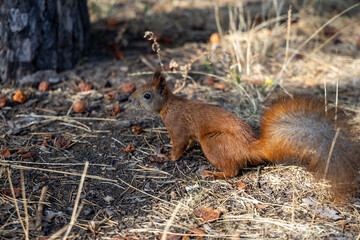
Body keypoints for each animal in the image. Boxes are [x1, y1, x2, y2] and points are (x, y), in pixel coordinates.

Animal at [129, 67, 360, 197]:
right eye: (139, 87)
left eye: (147, 95)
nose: (130, 99)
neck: (169, 105)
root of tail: (250, 148)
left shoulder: (177, 126)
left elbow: (178, 146)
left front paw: (167, 156)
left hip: (214, 143)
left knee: (233, 171)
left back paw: (213, 174)